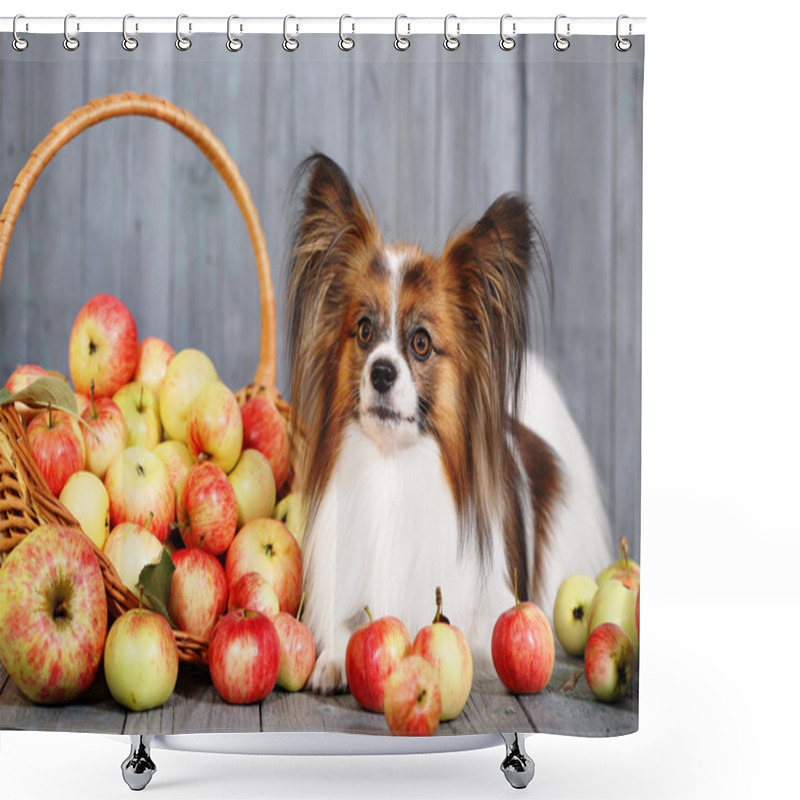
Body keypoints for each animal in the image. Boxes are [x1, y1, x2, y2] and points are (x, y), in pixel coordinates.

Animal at [288, 153, 612, 692]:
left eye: (421, 343)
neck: (394, 469)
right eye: (364, 331)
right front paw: (332, 657)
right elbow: (344, 625)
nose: (381, 371)